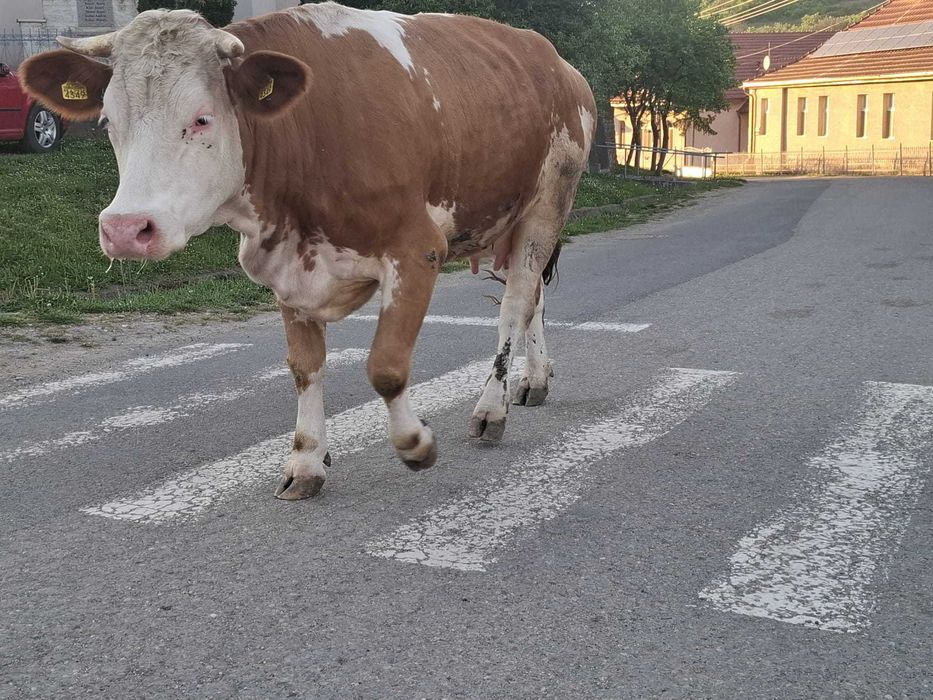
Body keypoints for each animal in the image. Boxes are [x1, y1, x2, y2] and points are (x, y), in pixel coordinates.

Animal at [20, 3, 596, 500]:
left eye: (202, 119)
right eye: (107, 122)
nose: (124, 228)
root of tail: (556, 60)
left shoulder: (417, 251)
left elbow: (386, 367)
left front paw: (415, 444)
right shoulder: (287, 266)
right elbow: (305, 368)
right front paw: (306, 461)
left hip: (547, 205)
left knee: (514, 306)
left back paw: (490, 410)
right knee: (532, 299)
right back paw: (534, 380)